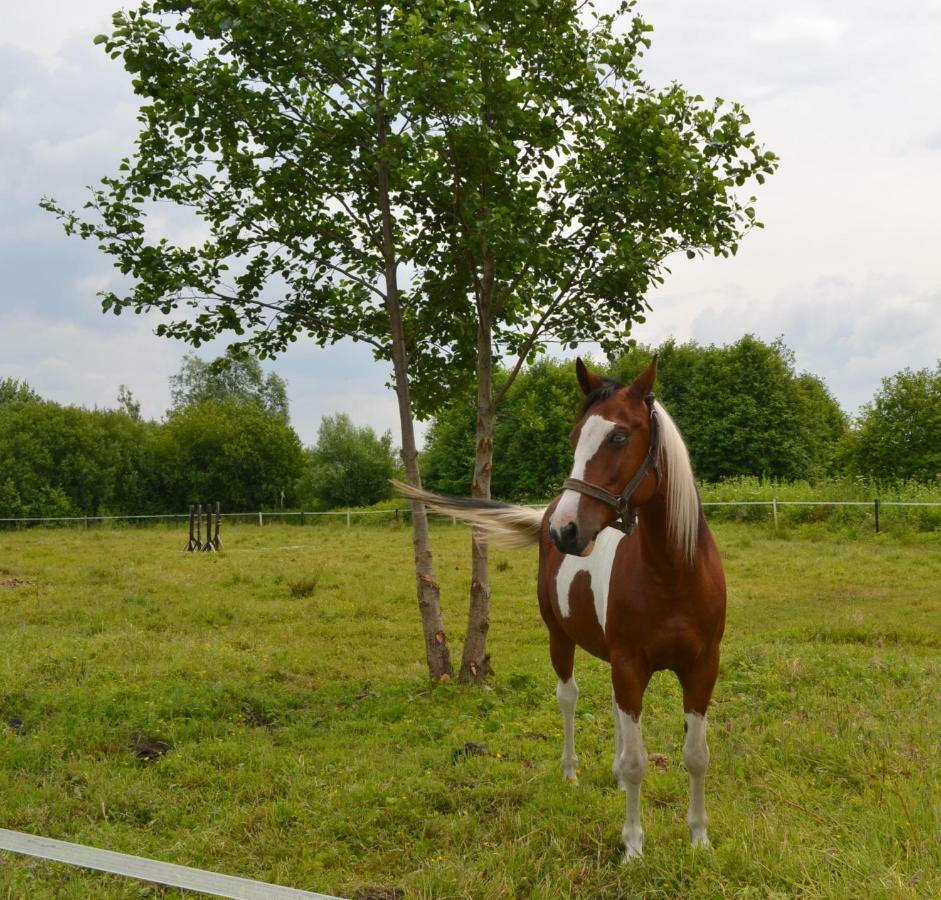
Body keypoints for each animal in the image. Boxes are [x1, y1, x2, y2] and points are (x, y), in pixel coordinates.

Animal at [396, 356, 728, 856]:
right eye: (574, 437)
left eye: (619, 436)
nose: (566, 531)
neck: (672, 574)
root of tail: (546, 513)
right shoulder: (630, 665)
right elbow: (638, 761)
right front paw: (633, 846)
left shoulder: (701, 667)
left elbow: (697, 755)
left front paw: (699, 839)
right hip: (561, 638)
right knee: (569, 698)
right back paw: (571, 773)